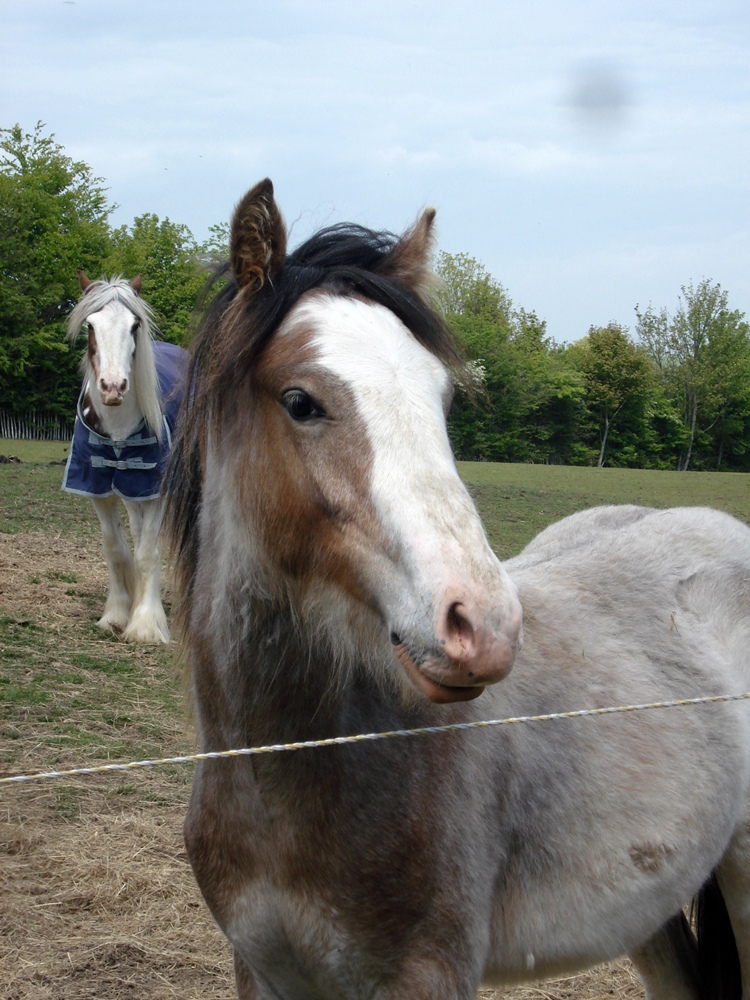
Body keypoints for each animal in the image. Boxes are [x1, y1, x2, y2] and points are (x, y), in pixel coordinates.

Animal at [63, 272, 188, 644]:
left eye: (134, 325)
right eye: (90, 324)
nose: (112, 387)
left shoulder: (156, 490)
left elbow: (148, 552)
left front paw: (146, 624)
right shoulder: (99, 489)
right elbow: (115, 548)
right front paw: (117, 613)